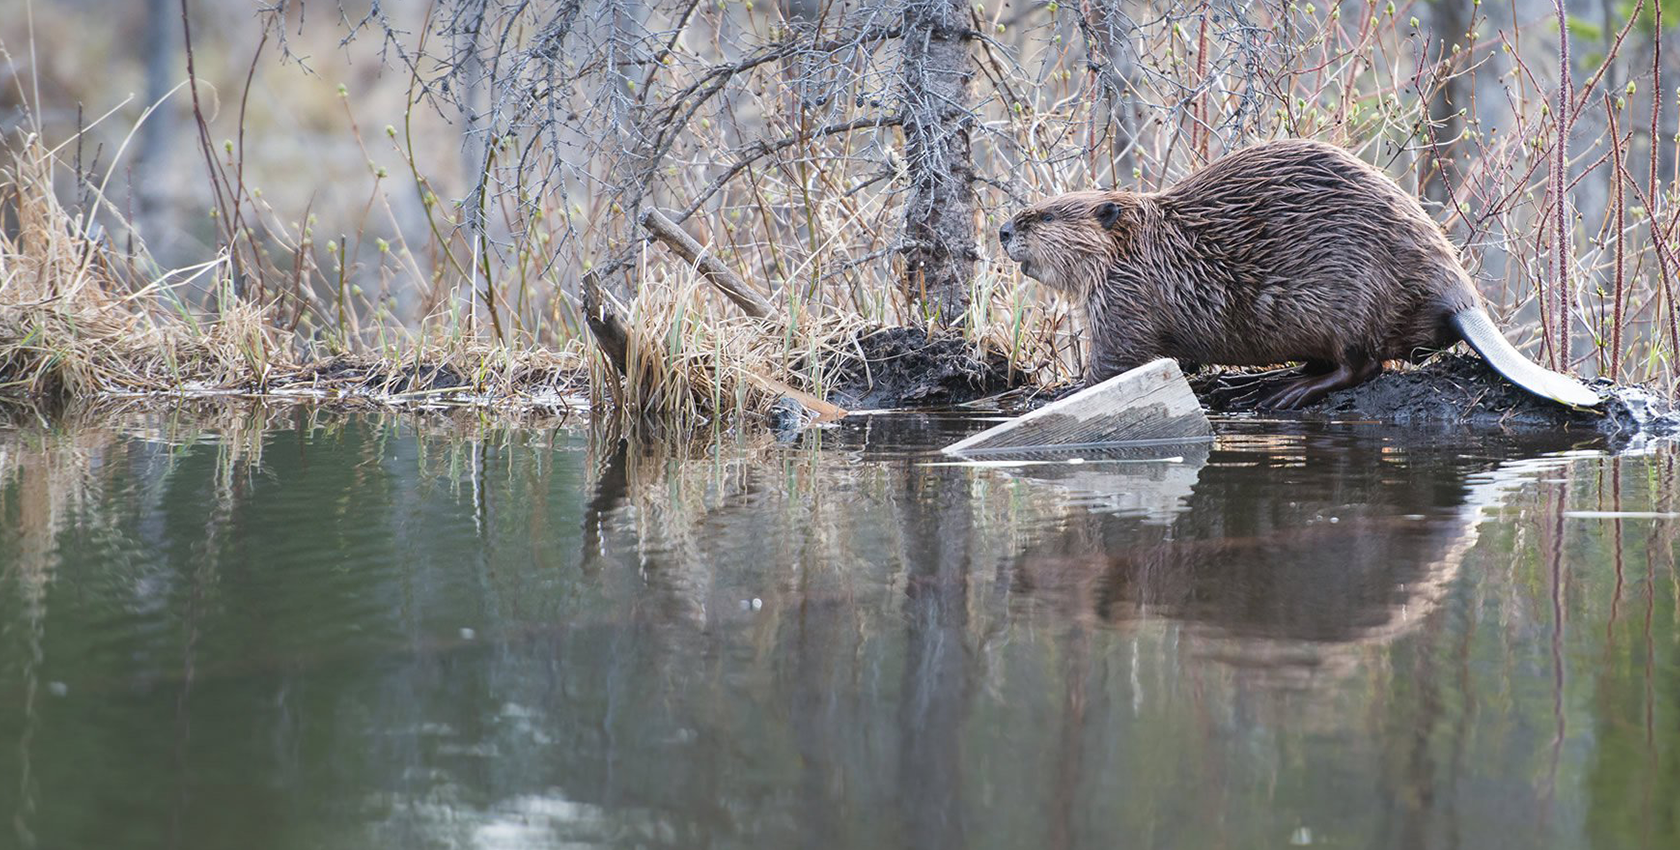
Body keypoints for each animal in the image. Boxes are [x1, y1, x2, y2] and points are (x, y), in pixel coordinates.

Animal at [994, 137, 1599, 409]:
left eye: (1044, 215)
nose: (1001, 230)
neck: (1150, 244)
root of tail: (1461, 301)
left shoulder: (1125, 296)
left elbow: (1114, 363)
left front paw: (1055, 395)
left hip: (1352, 304)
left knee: (1364, 365)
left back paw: (1282, 392)